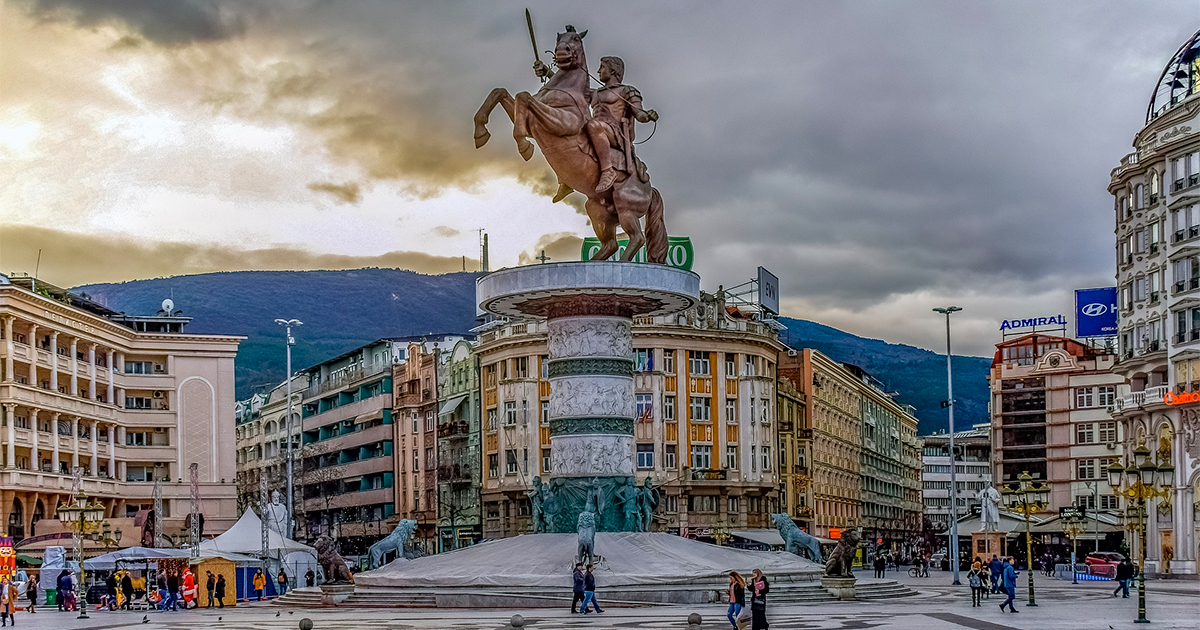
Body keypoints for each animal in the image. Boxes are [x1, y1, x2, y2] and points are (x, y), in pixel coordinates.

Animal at [475, 27, 667, 261]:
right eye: (559, 37)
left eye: (575, 38)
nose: (561, 52)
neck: (565, 89)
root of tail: (649, 187)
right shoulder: (531, 121)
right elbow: (501, 92)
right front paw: (480, 131)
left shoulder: (560, 123)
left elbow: (524, 97)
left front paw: (523, 145)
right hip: (597, 209)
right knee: (611, 244)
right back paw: (594, 262)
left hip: (625, 207)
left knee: (637, 238)